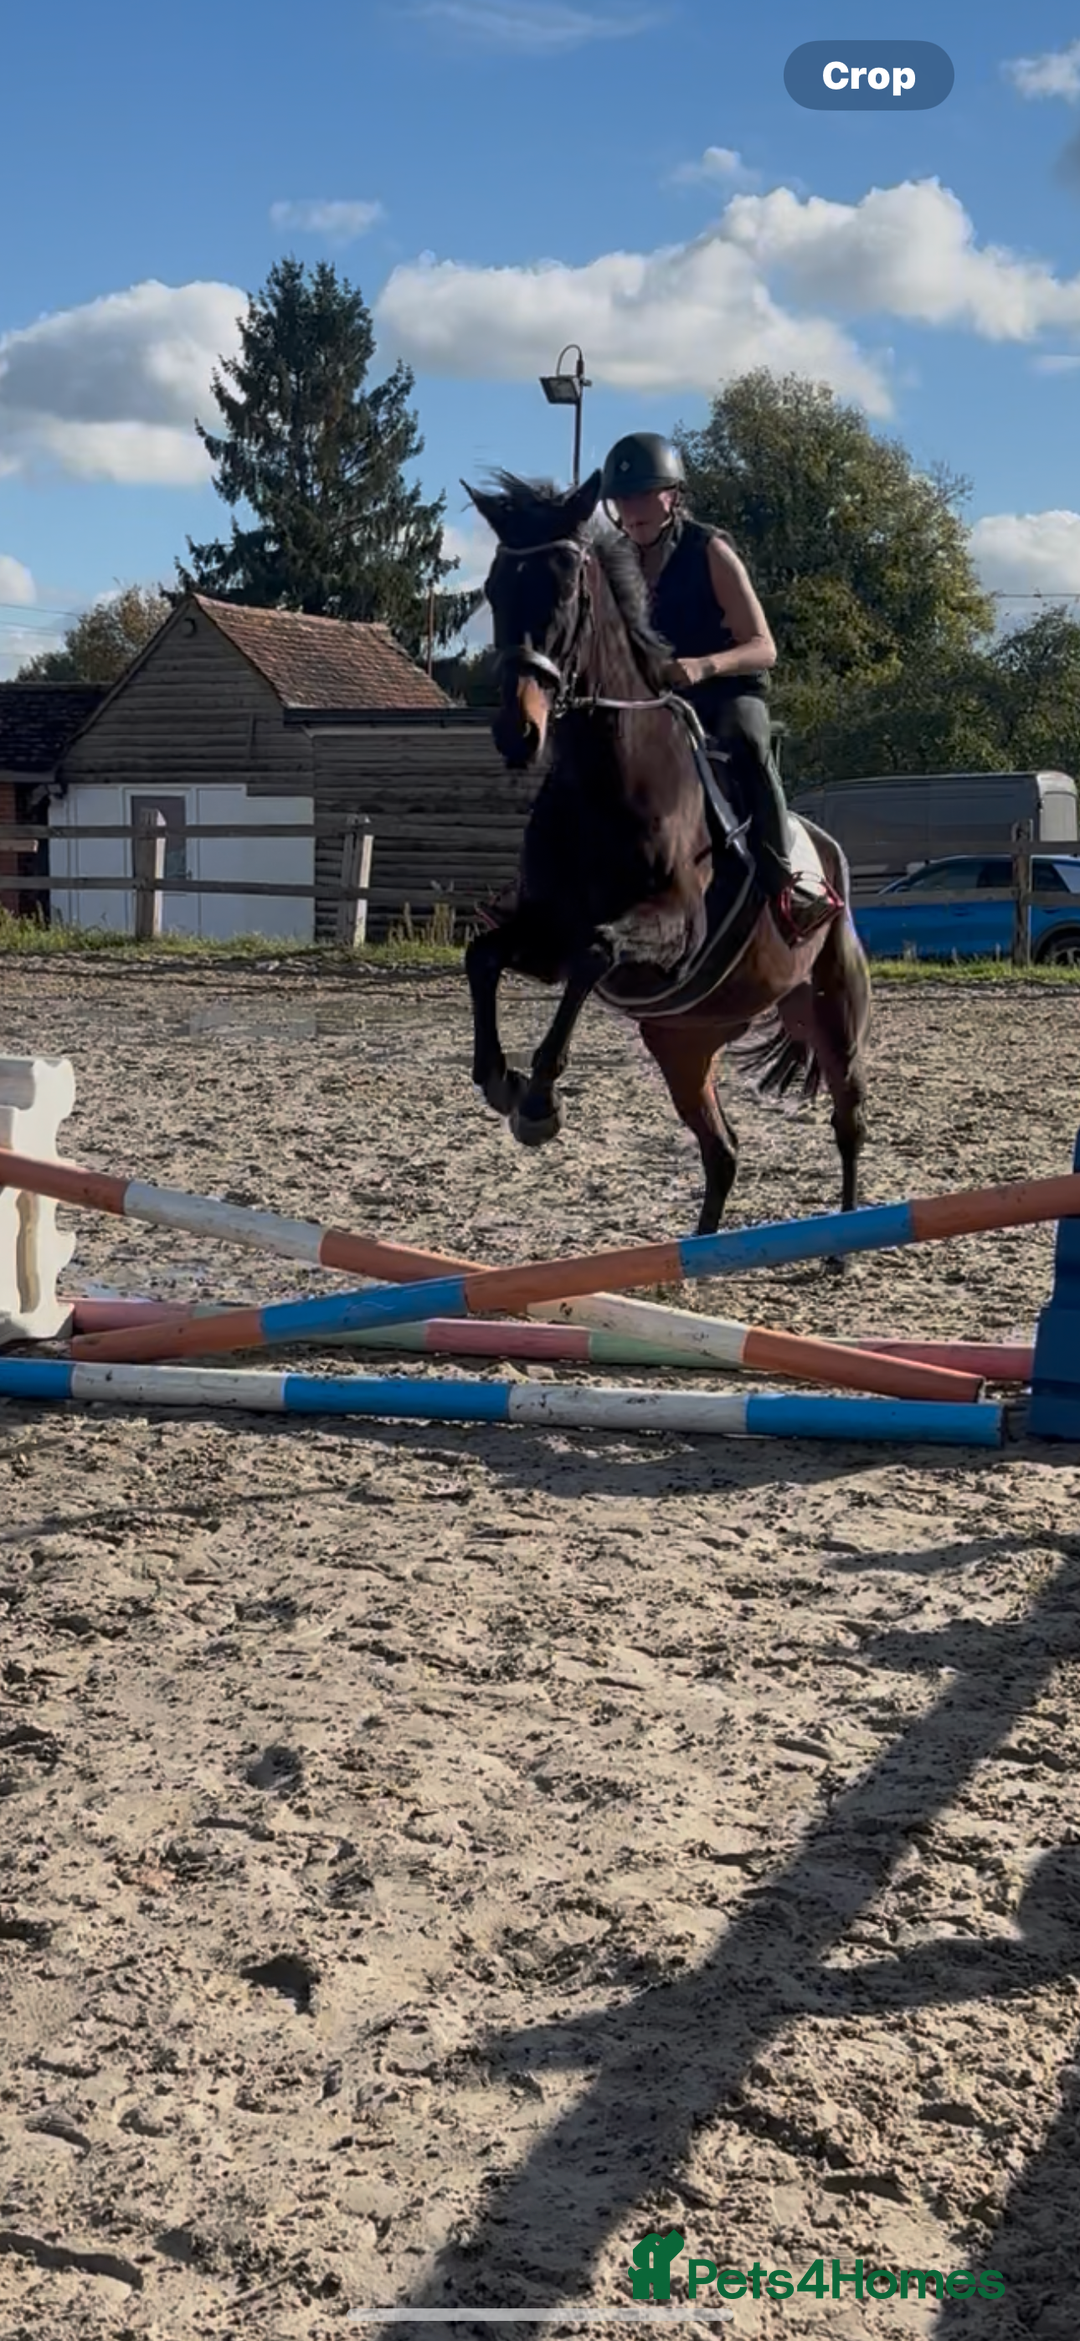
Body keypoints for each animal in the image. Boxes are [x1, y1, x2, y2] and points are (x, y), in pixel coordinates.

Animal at [460, 468, 872, 1243]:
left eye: (567, 589)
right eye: (495, 588)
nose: (515, 734)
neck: (605, 781)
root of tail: (832, 850)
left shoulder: (671, 936)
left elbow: (595, 951)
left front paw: (539, 1104)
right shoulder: (546, 935)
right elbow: (484, 956)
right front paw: (501, 1082)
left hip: (832, 1007)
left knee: (848, 1119)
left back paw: (840, 1244)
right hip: (682, 1040)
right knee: (723, 1150)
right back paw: (696, 1257)